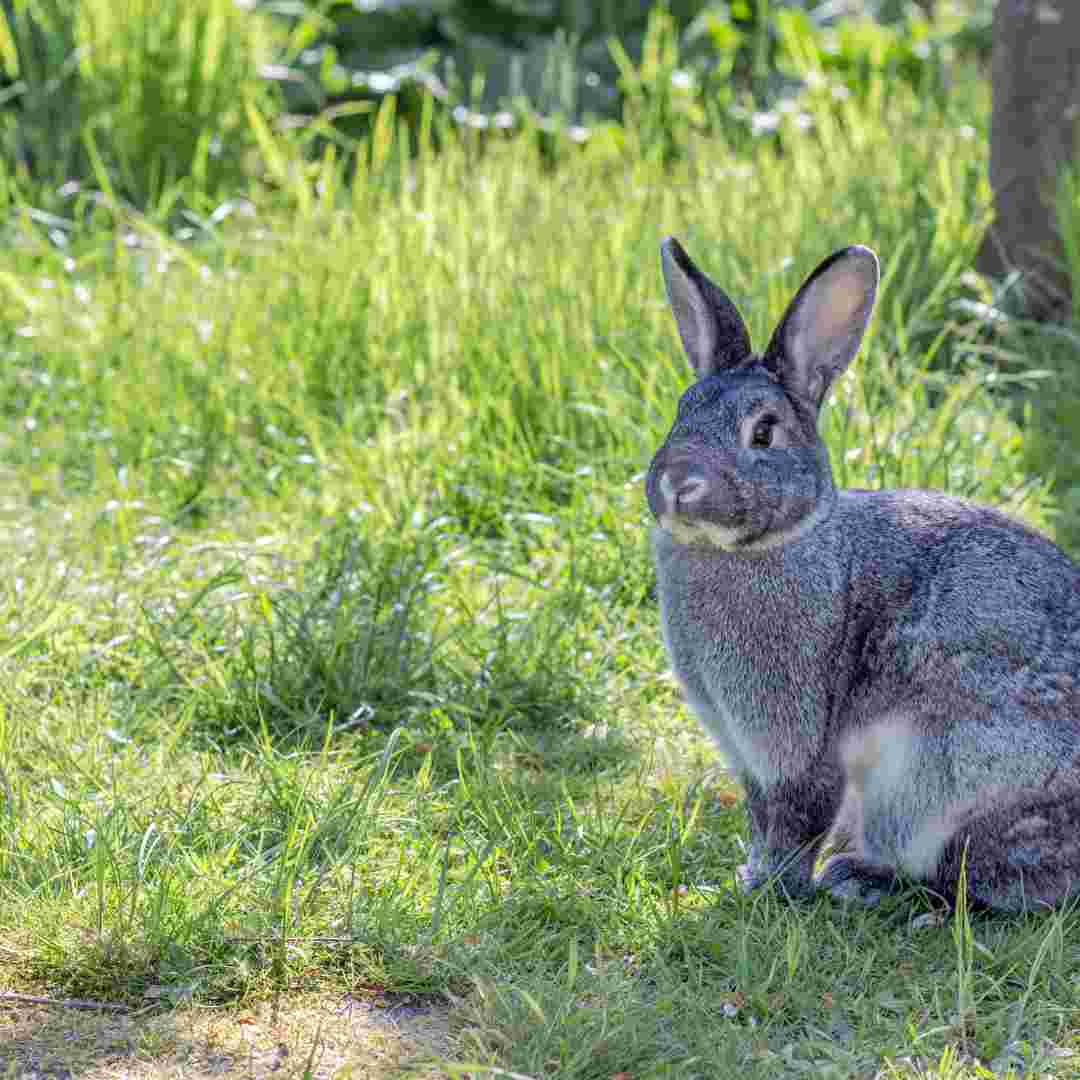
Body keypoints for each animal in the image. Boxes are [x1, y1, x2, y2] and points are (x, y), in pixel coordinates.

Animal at [643, 238, 1080, 911]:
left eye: (763, 432)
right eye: (679, 412)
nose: (676, 482)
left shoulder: (795, 738)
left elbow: (797, 817)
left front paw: (772, 889)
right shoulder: (743, 749)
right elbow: (761, 816)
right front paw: (748, 878)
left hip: (959, 786)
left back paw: (868, 883)